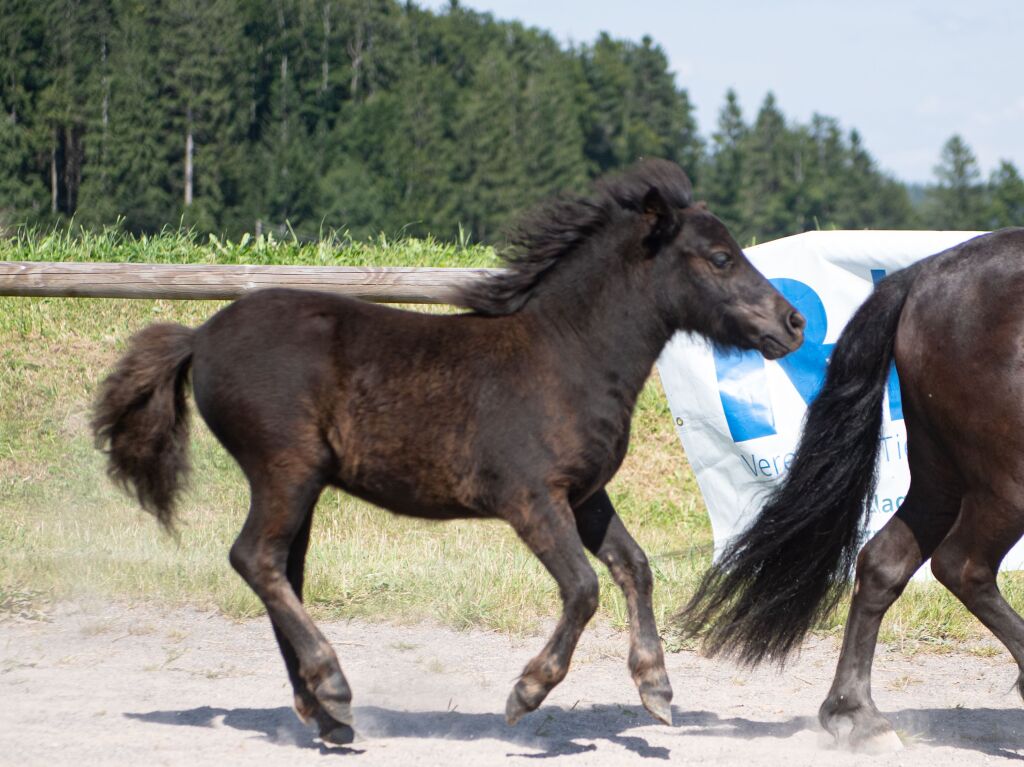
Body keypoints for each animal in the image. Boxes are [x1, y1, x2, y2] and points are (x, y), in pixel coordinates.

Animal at [92, 159, 802, 741]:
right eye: (719, 258)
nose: (792, 322)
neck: (567, 355)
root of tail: (200, 335)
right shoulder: (529, 498)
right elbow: (582, 587)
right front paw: (527, 692)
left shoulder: (584, 494)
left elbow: (634, 567)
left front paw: (656, 688)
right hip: (284, 469)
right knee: (255, 559)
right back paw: (333, 687)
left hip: (301, 484)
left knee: (280, 570)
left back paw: (323, 714)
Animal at [679, 226, 1024, 749]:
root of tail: (925, 274)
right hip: (1006, 481)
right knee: (962, 566)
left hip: (941, 480)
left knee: (884, 562)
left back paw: (855, 714)